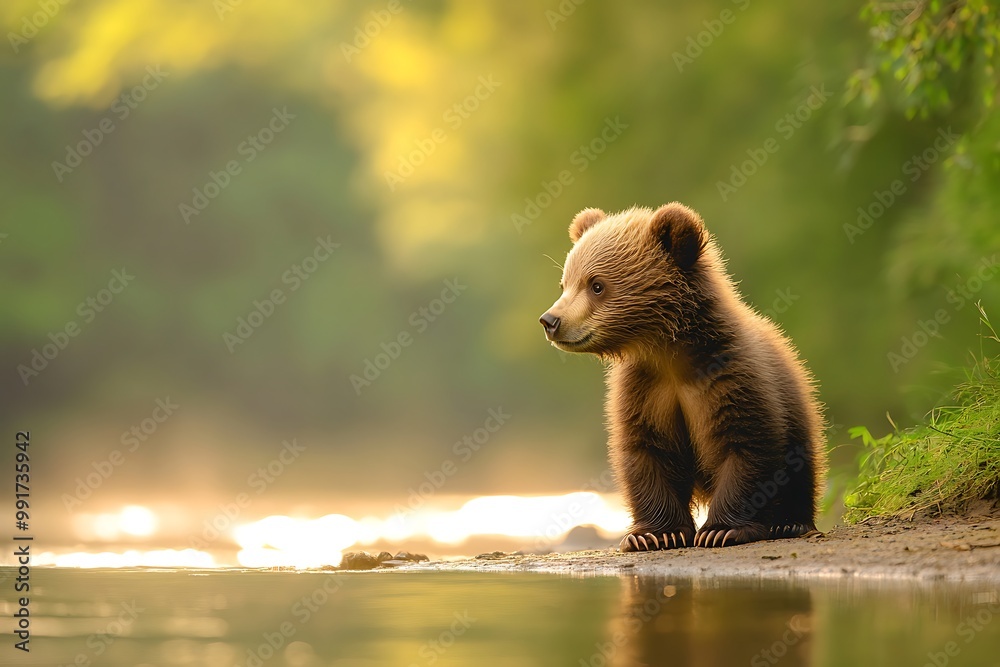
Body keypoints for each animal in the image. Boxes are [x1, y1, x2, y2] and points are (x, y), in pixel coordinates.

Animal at [539, 203, 826, 551]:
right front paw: (654, 534)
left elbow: (747, 444)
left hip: (798, 407)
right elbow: (647, 451)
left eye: (596, 285)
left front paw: (721, 530)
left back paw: (790, 522)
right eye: (564, 283)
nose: (550, 320)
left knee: (800, 467)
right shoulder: (646, 388)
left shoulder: (732, 377)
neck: (672, 356)